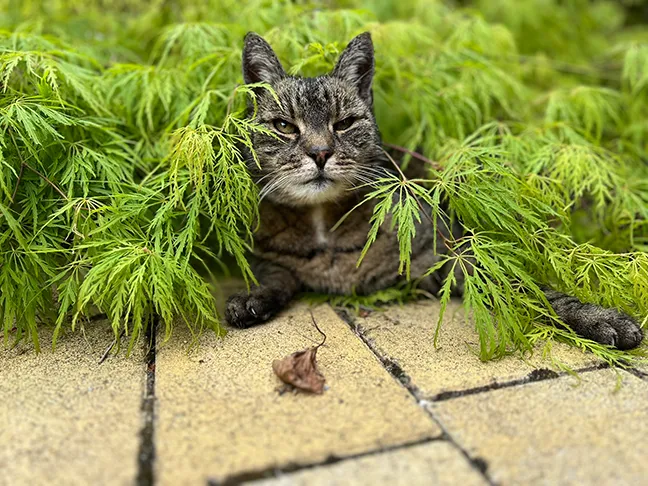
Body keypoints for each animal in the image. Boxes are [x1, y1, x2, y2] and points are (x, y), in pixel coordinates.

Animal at [227, 32, 644, 350]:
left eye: (344, 123)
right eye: (284, 126)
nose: (319, 152)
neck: (324, 225)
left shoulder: (453, 257)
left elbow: (529, 287)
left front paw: (597, 317)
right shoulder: (267, 256)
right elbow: (273, 275)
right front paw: (252, 297)